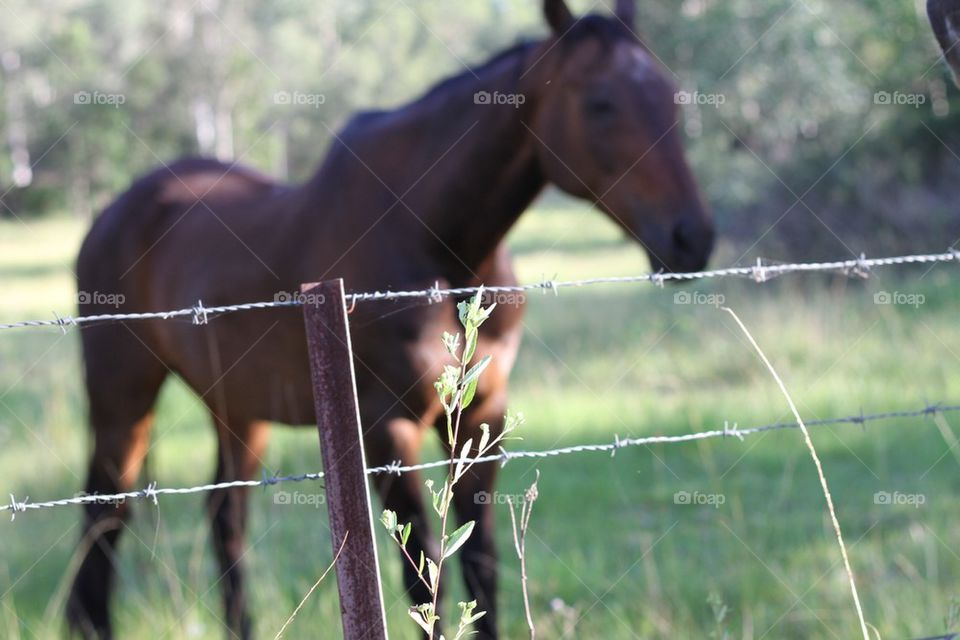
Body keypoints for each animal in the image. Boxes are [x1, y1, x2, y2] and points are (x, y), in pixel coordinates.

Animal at [67, 1, 712, 636]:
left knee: (224, 514)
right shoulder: (388, 428)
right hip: (122, 396)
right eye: (600, 102)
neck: (438, 245)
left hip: (237, 408)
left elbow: (480, 569)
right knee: (107, 510)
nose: (693, 238)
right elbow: (426, 578)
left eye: (671, 96)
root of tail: (112, 213)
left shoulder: (483, 418)